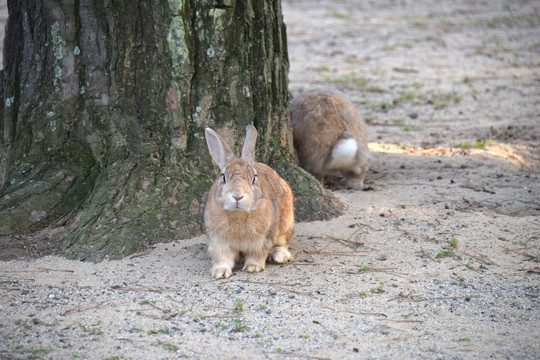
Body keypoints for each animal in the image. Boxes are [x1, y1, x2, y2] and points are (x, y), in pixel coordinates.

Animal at [204, 125, 296, 280]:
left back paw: (279, 256)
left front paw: (252, 268)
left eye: (253, 178)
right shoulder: (219, 242)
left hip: (287, 223)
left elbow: (257, 254)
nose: (237, 196)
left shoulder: (263, 240)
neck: (238, 214)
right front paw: (220, 273)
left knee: (283, 242)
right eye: (223, 177)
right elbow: (223, 257)